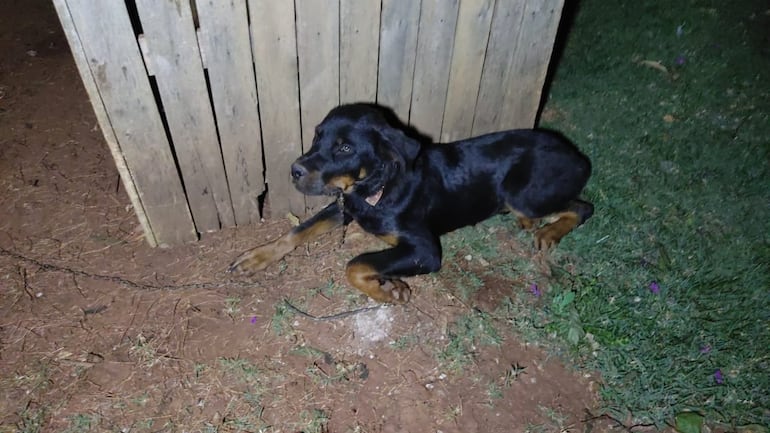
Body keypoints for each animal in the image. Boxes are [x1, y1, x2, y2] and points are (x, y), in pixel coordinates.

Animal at [225, 103, 592, 302]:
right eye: (317, 136)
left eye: (345, 148)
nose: (295, 171)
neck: (377, 188)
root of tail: (576, 156)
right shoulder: (345, 206)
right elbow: (299, 230)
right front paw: (256, 257)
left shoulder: (425, 250)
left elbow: (355, 264)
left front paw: (389, 289)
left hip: (522, 195)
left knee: (583, 207)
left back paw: (548, 232)